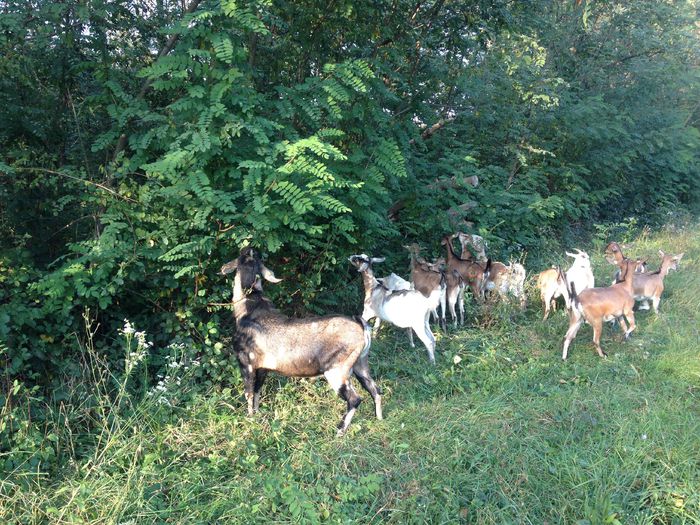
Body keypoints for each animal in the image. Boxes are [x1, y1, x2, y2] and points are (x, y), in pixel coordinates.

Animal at [220, 248, 380, 436]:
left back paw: (339, 431)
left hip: (337, 370)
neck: (248, 307)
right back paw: (379, 419)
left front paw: (251, 419)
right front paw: (258, 415)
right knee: (375, 389)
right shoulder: (262, 368)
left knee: (355, 399)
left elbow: (249, 394)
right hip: (360, 364)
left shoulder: (247, 364)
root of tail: (361, 326)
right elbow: (258, 391)